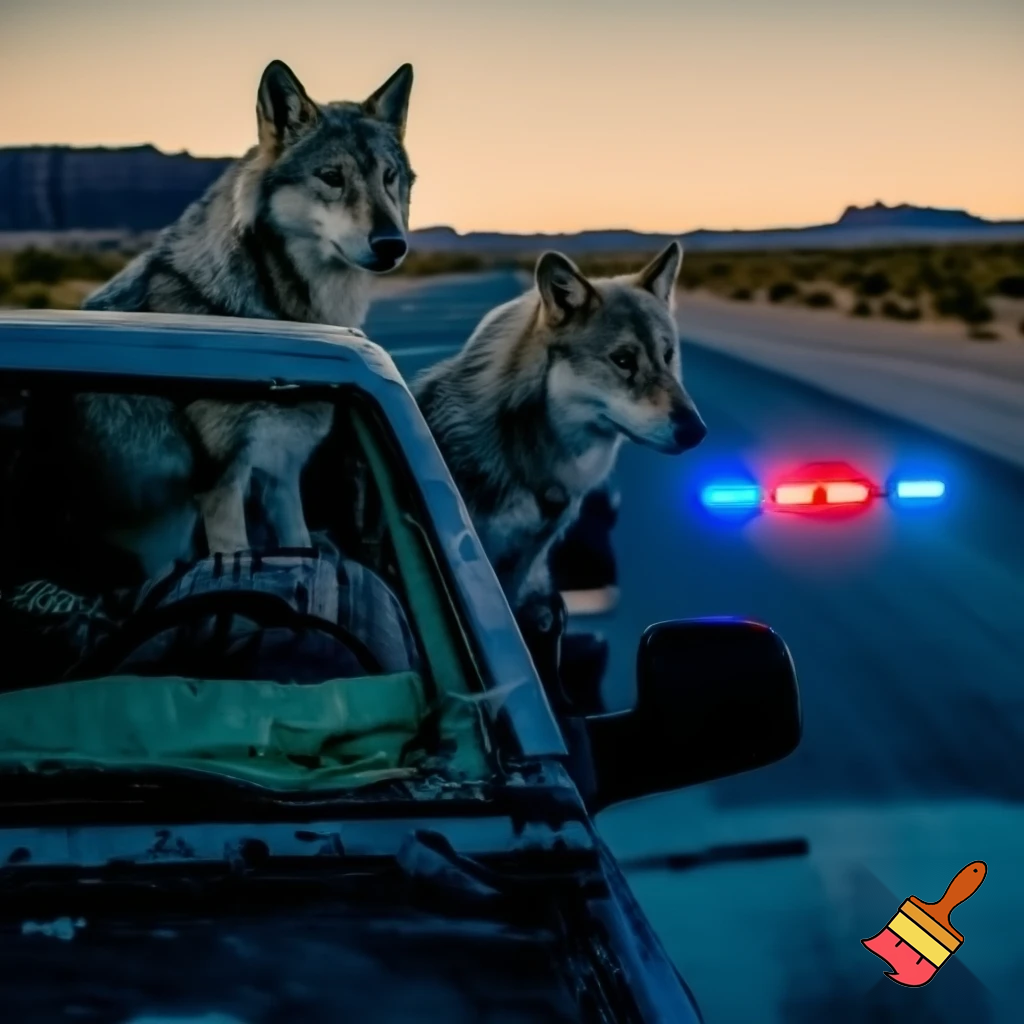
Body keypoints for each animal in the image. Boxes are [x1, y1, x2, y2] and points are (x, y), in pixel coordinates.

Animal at [72, 59, 415, 576]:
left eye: (389, 176)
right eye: (331, 177)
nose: (393, 244)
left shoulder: (281, 473)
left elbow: (300, 542)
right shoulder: (223, 487)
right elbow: (233, 552)